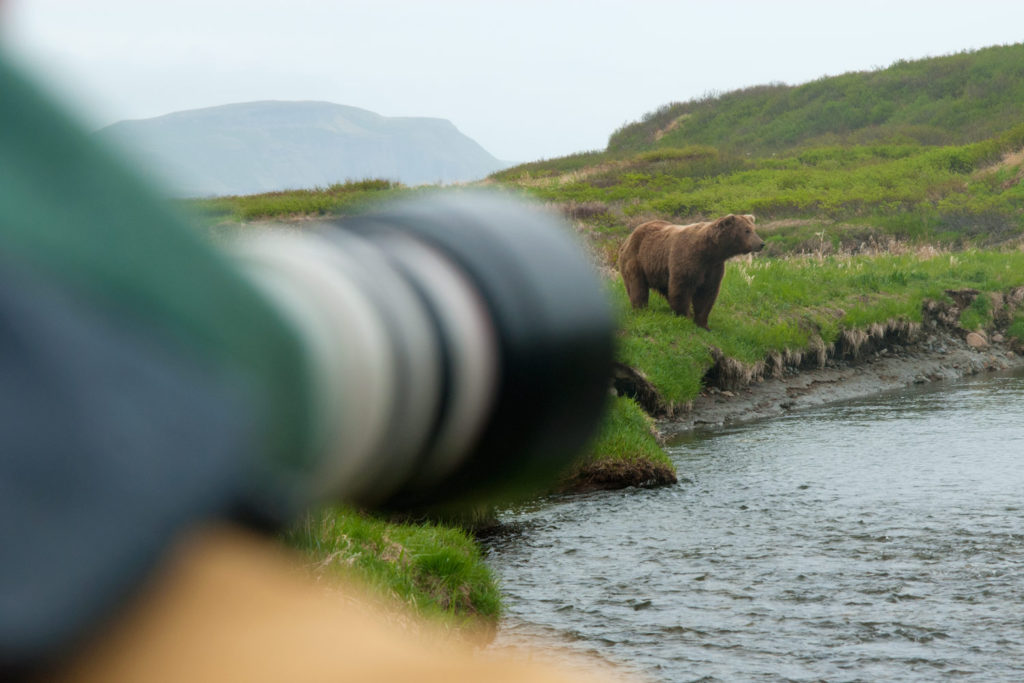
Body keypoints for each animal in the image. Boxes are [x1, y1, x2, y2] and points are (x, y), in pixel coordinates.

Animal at [614, 215, 761, 329]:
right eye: (747, 230)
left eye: (754, 229)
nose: (761, 243)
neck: (711, 252)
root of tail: (628, 237)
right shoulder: (689, 258)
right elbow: (683, 287)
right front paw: (686, 315)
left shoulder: (713, 268)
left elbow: (707, 293)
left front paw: (703, 323)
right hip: (636, 259)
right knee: (638, 286)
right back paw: (641, 308)